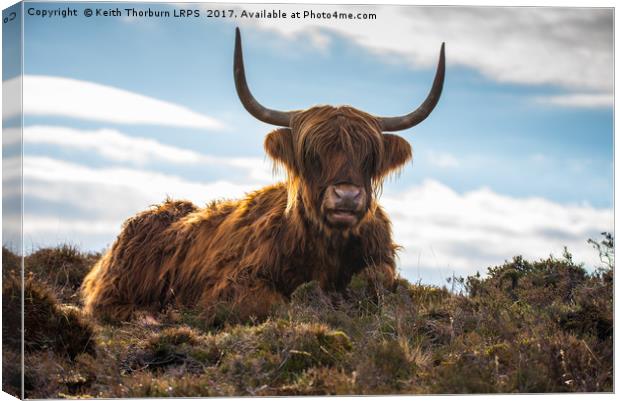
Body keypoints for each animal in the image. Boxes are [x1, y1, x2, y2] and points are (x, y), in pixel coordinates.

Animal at [81, 28, 446, 322]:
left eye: (369, 156)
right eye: (311, 155)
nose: (346, 196)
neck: (327, 251)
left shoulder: (381, 265)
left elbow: (378, 282)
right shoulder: (233, 282)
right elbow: (272, 303)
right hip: (117, 285)